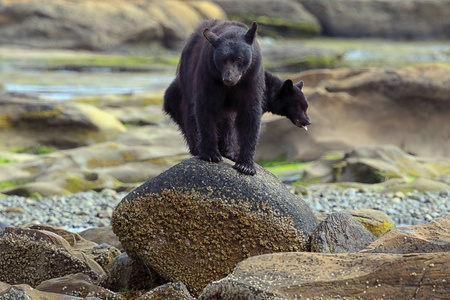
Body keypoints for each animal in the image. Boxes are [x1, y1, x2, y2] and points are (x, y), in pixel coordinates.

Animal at [171, 19, 266, 176]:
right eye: (221, 59)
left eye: (239, 58)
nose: (228, 79)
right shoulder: (209, 75)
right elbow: (205, 108)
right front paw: (210, 153)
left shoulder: (252, 78)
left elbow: (249, 114)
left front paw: (245, 165)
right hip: (186, 76)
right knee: (190, 112)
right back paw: (197, 147)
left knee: (228, 120)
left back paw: (230, 151)